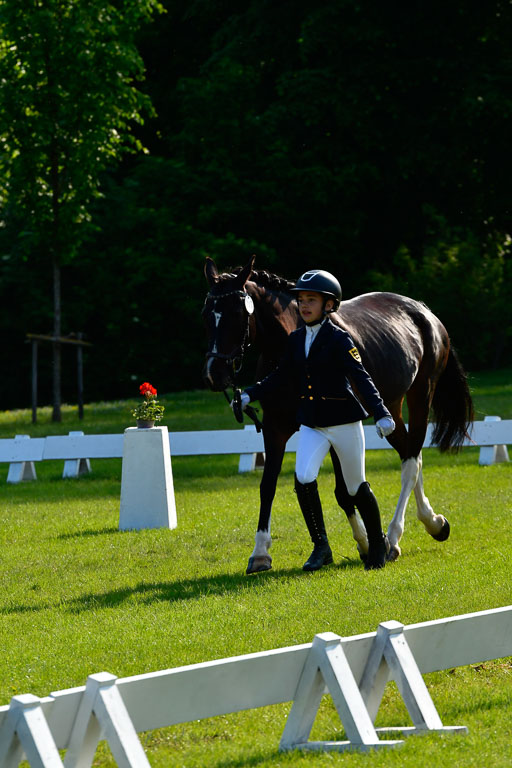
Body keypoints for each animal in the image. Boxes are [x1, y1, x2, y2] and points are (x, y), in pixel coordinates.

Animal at [202, 256, 474, 568]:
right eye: (206, 314)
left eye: (237, 313)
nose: (213, 374)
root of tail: (423, 311)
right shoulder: (274, 428)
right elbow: (268, 485)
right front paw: (260, 552)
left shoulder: (334, 426)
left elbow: (345, 493)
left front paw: (368, 544)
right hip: (390, 408)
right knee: (411, 455)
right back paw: (434, 523)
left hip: (421, 396)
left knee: (409, 464)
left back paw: (394, 537)